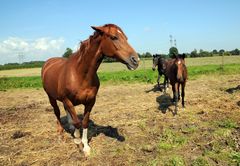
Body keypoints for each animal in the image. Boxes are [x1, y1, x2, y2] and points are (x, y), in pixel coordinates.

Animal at [40, 24, 139, 156]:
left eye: (126, 38)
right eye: (114, 37)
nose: (136, 60)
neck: (80, 74)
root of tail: (48, 62)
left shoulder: (90, 101)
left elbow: (84, 122)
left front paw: (86, 146)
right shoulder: (67, 100)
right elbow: (78, 122)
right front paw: (78, 141)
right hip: (51, 97)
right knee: (57, 112)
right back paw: (60, 133)